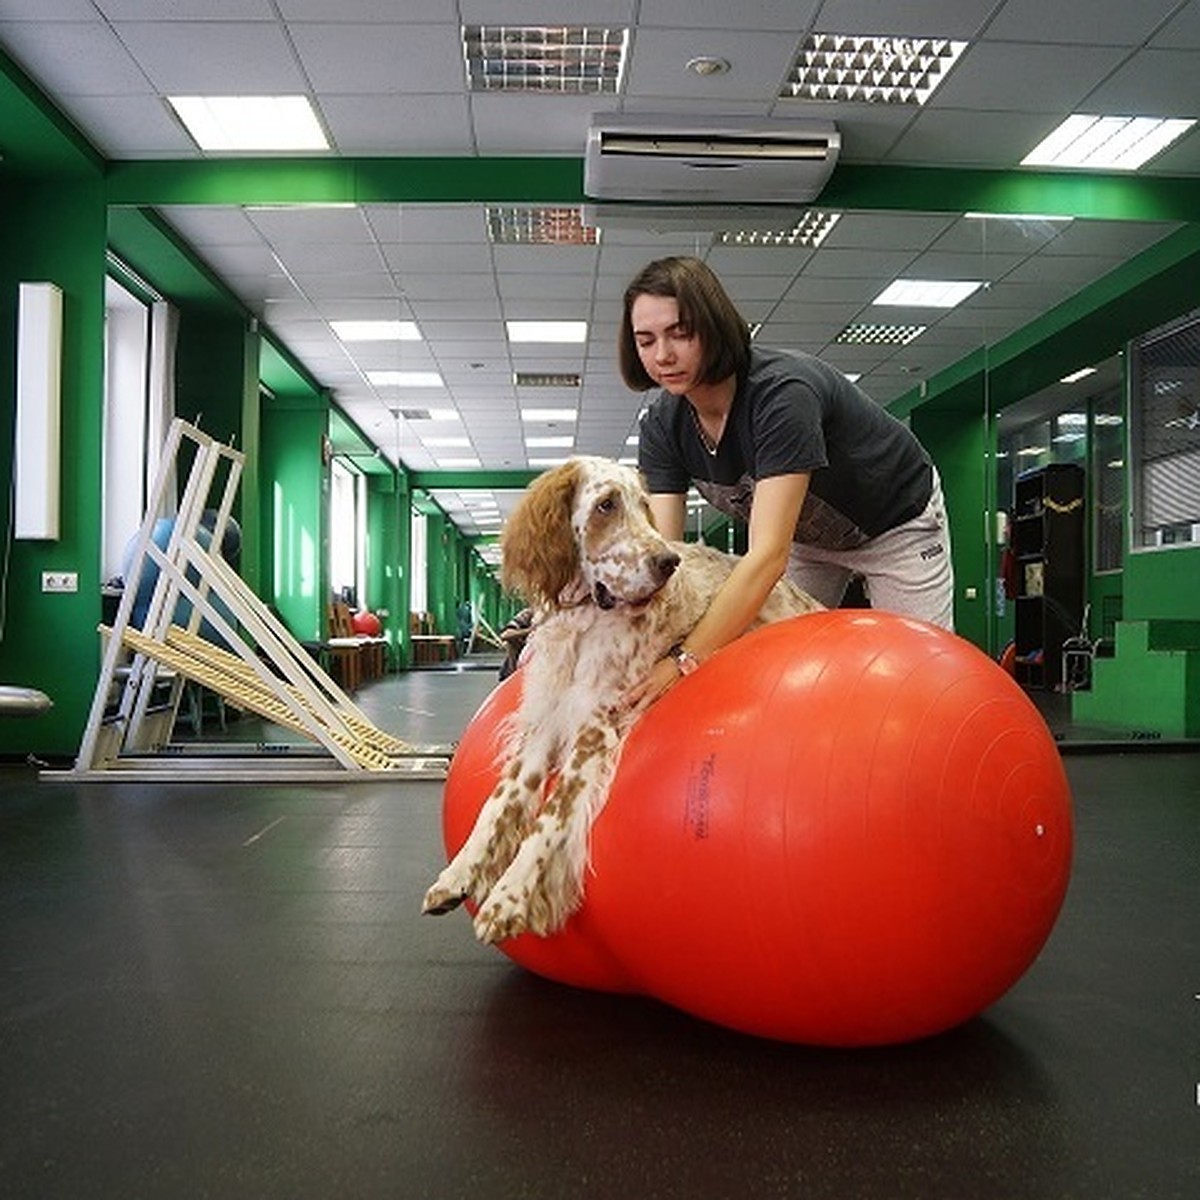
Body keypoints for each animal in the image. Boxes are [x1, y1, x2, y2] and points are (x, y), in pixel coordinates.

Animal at [422, 453, 825, 940]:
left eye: (643, 505)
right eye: (606, 505)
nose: (668, 561)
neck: (582, 624)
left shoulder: (595, 727)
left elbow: (552, 815)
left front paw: (510, 896)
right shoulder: (546, 722)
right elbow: (500, 801)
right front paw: (459, 873)